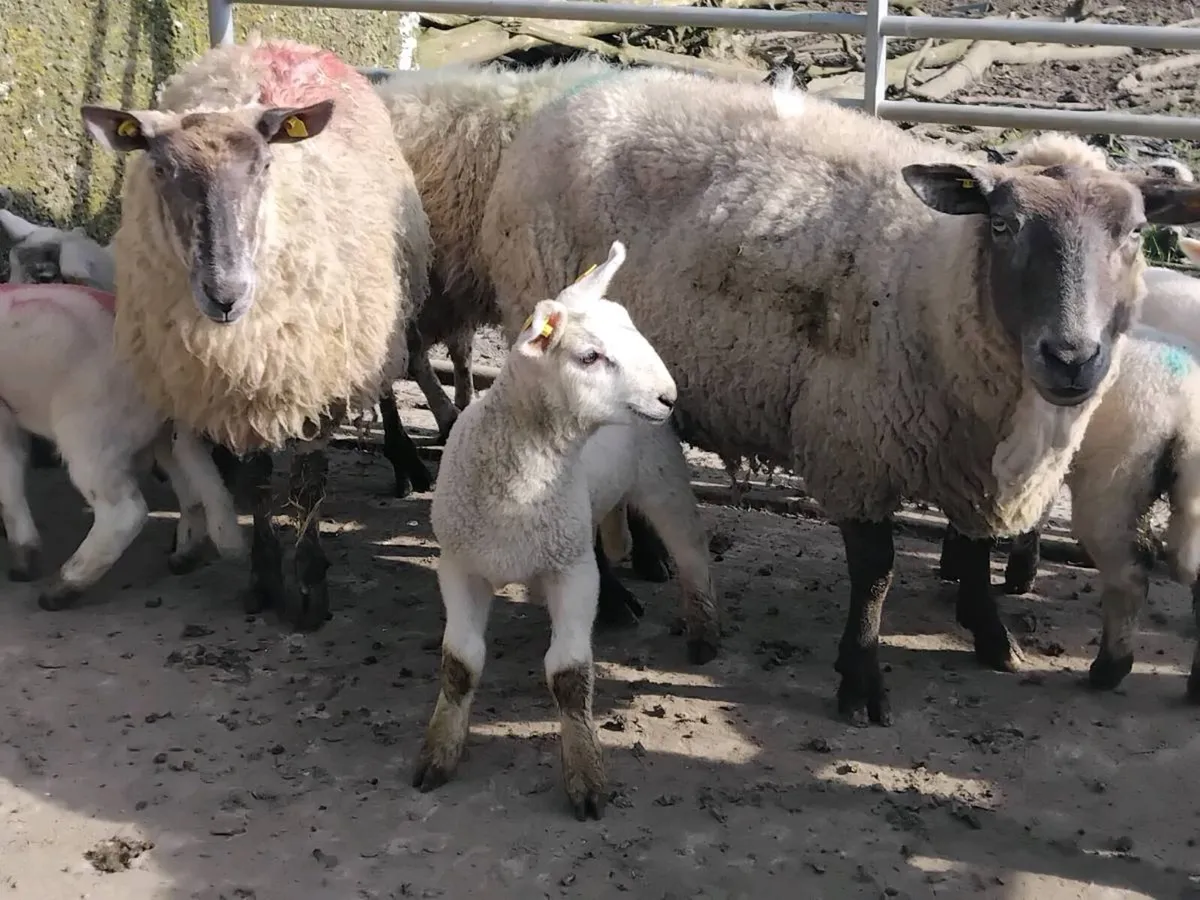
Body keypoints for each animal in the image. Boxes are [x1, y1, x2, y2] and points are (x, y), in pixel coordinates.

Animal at [0, 281, 245, 607]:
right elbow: (10, 477)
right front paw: (23, 562)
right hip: (164, 432)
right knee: (198, 485)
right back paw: (184, 557)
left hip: (91, 430)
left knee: (125, 512)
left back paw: (60, 590)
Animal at [79, 36, 433, 631]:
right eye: (159, 170)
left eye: (265, 164)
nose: (225, 294)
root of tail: (279, 43)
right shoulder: (237, 389)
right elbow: (258, 481)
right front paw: (264, 580)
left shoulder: (320, 377)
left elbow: (308, 483)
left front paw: (310, 590)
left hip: (381, 309)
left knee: (387, 379)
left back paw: (406, 461)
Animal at [413, 240, 717, 819]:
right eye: (589, 357)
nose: (668, 396)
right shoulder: (459, 565)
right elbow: (460, 664)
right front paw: (439, 753)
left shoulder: (571, 571)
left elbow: (570, 676)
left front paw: (586, 776)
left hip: (661, 477)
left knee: (691, 548)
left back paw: (703, 630)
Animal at [478, 67, 1200, 725]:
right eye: (1001, 225)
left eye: (1135, 231)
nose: (1071, 357)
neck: (932, 284)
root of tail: (570, 98)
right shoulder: (856, 444)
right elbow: (875, 573)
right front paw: (861, 681)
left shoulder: (967, 459)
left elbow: (973, 550)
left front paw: (993, 639)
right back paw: (616, 602)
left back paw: (650, 560)